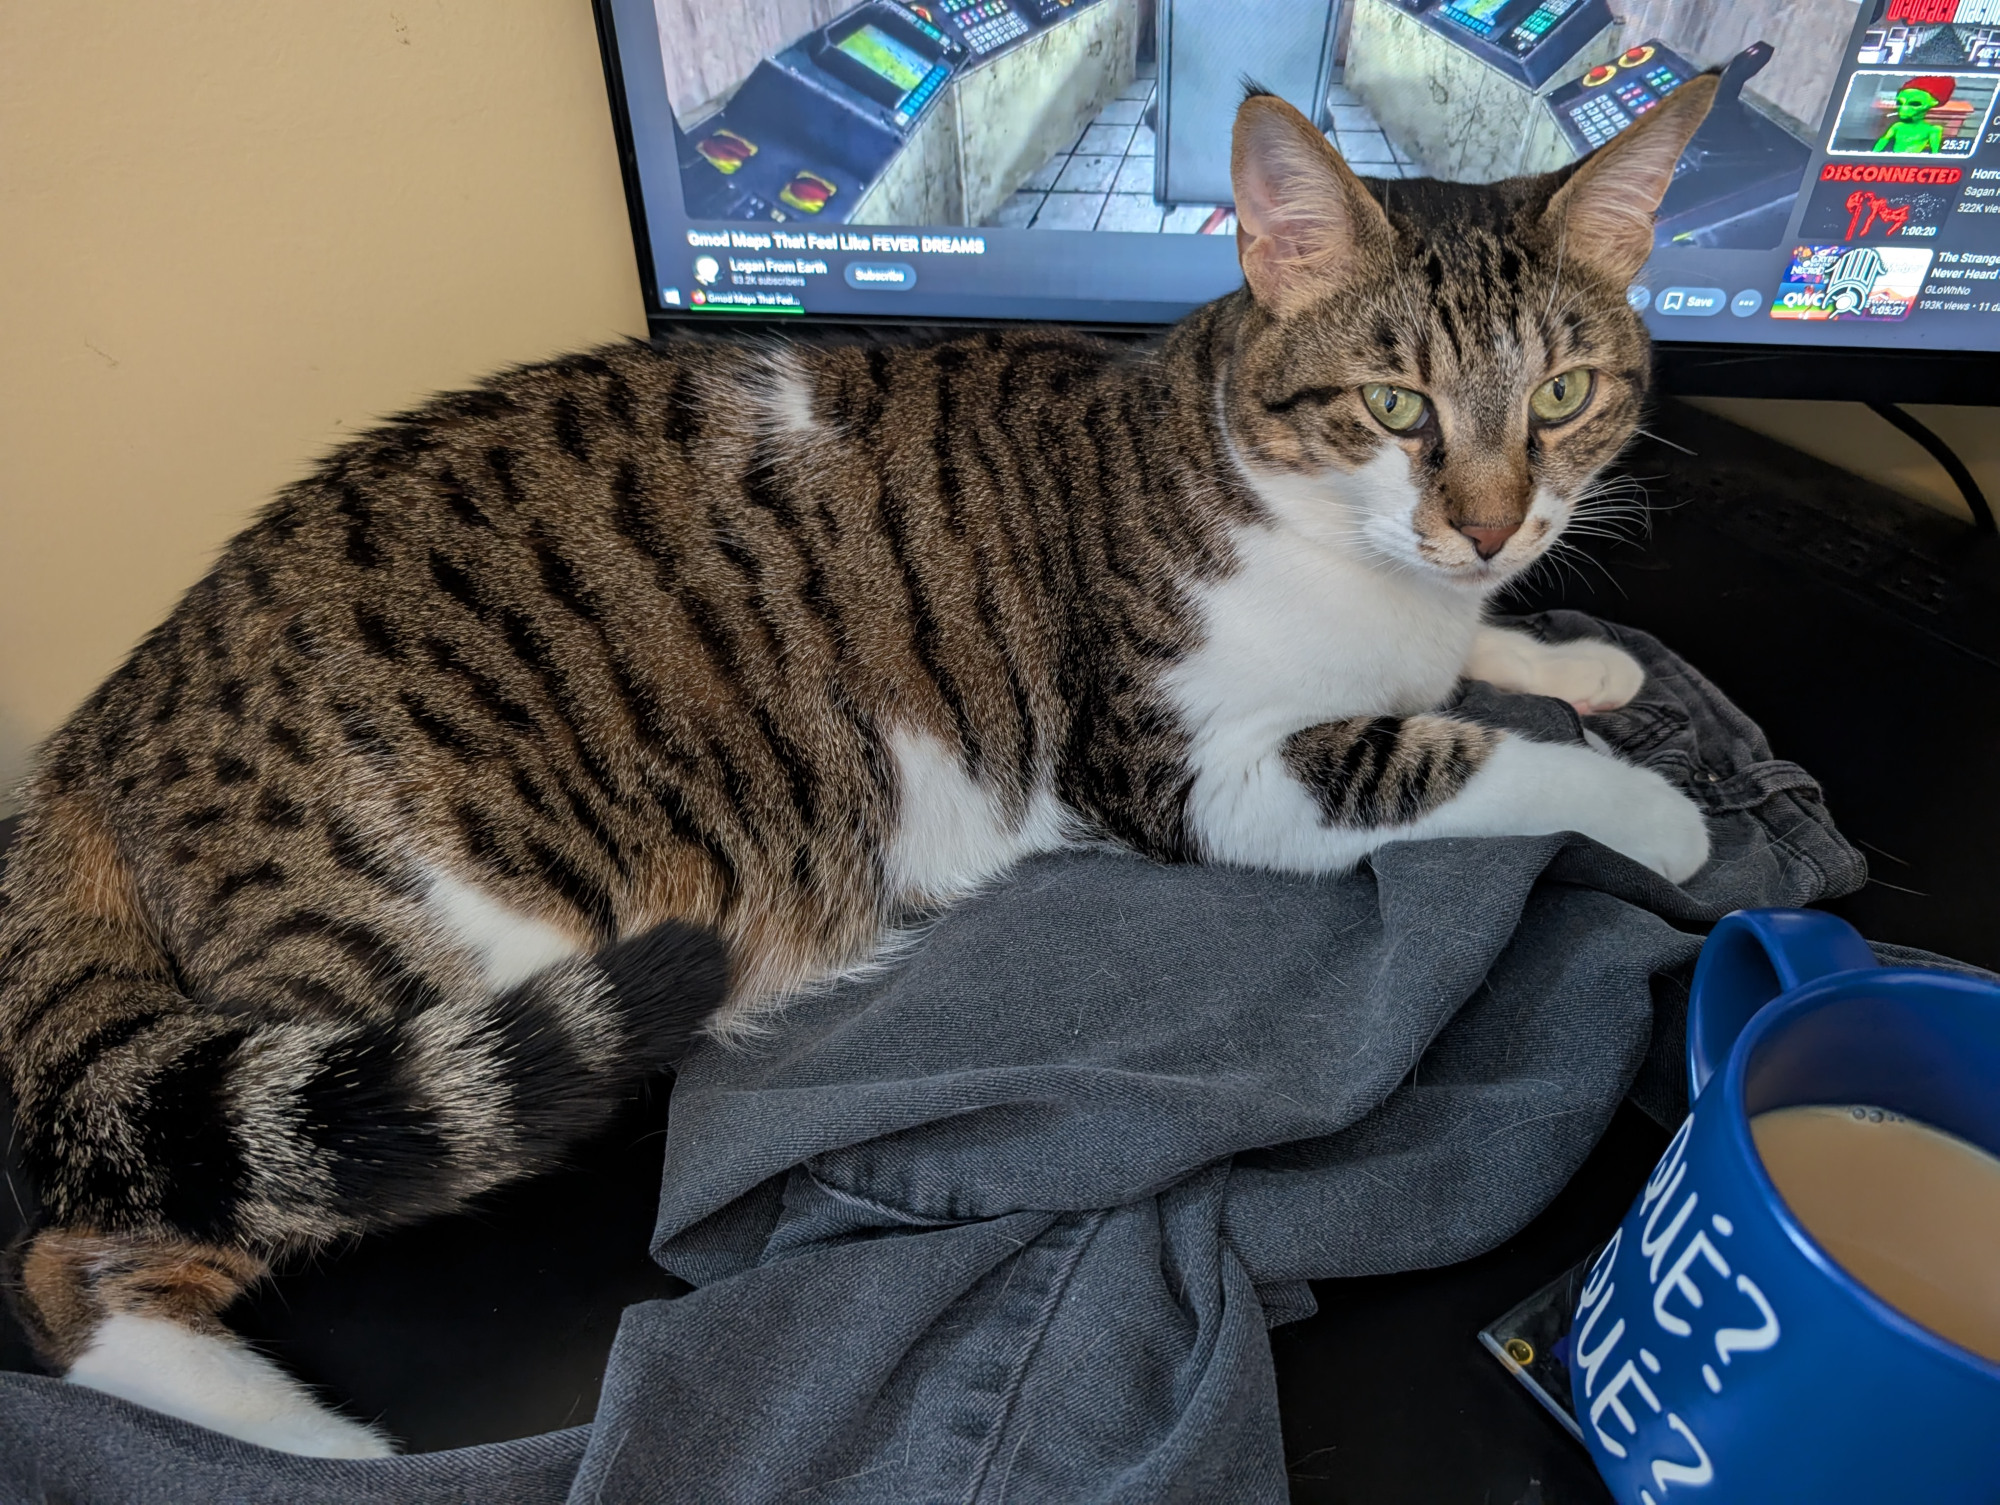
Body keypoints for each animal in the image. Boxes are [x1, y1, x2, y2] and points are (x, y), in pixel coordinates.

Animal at [0, 79, 1716, 1455]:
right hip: (413, 963)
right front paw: (1657, 810)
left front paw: (1579, 660)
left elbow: (1479, 667)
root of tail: (115, 700)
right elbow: (1457, 757)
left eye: (1563, 397)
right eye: (1395, 407)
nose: (1488, 525)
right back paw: (310, 1438)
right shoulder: (1192, 771)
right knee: (84, 1259)